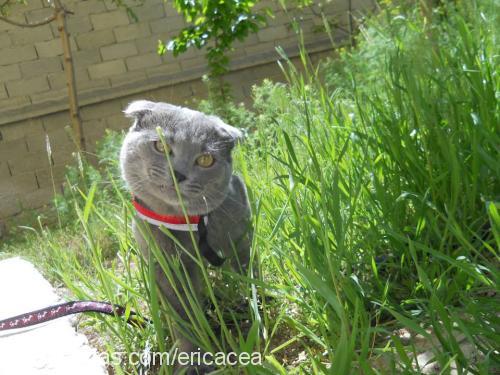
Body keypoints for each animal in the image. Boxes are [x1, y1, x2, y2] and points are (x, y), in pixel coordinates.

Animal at [119, 100, 252, 374]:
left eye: (205, 159)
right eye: (160, 145)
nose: (178, 173)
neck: (184, 224)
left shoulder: (240, 231)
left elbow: (247, 268)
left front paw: (256, 303)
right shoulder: (165, 266)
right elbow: (183, 313)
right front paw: (192, 359)